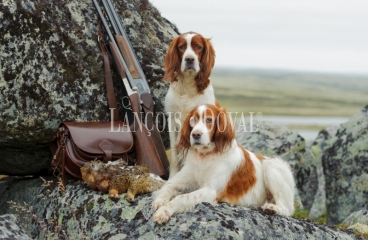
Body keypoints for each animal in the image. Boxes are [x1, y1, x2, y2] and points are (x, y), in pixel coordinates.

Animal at [152, 104, 296, 224]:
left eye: (209, 120)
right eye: (193, 120)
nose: (195, 134)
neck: (205, 156)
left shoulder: (211, 190)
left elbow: (182, 198)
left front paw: (164, 212)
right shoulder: (179, 181)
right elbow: (167, 188)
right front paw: (159, 201)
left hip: (271, 167)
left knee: (288, 209)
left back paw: (272, 208)